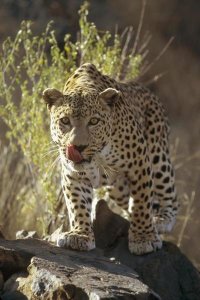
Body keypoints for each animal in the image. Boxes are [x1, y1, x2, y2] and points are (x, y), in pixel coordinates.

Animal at [42, 63, 178, 255]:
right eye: (65, 121)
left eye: (94, 121)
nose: (78, 147)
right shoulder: (73, 174)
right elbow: (77, 204)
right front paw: (80, 235)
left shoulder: (139, 164)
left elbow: (142, 202)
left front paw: (143, 238)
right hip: (117, 189)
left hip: (159, 159)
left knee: (170, 196)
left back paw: (161, 220)